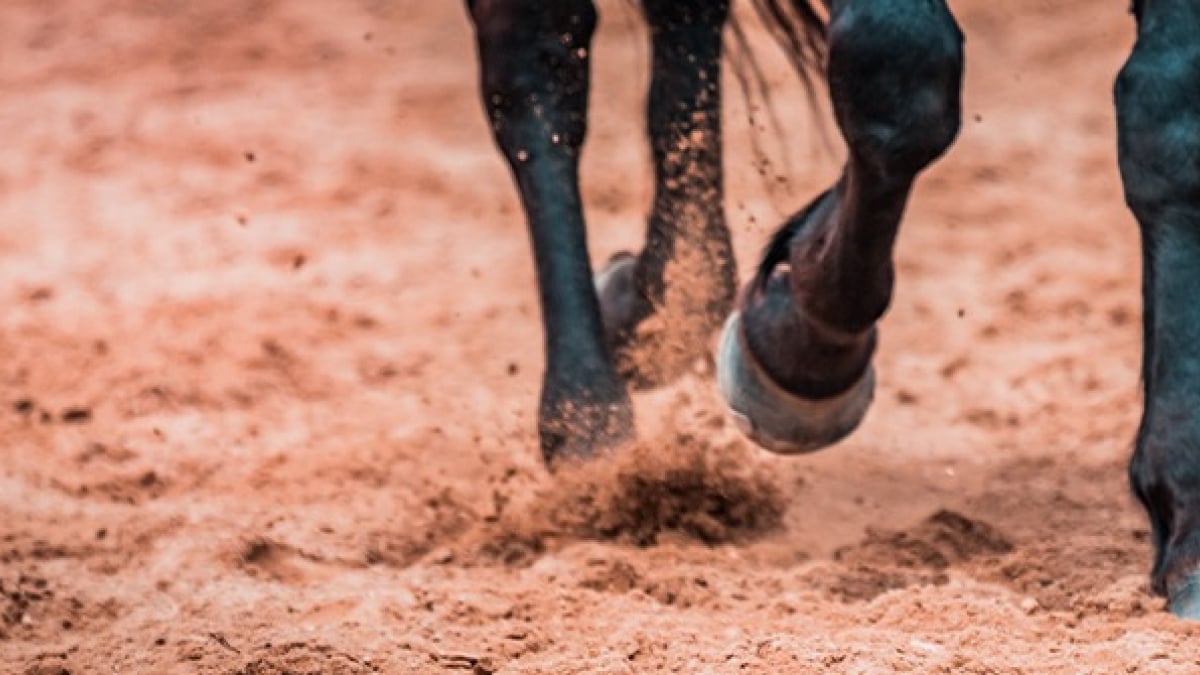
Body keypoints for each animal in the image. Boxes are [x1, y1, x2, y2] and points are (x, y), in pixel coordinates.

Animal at [464, 0, 1200, 619]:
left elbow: (1168, 115)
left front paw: (1188, 538)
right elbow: (898, 68)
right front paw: (797, 342)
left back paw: (663, 304)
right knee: (538, 69)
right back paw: (588, 430)